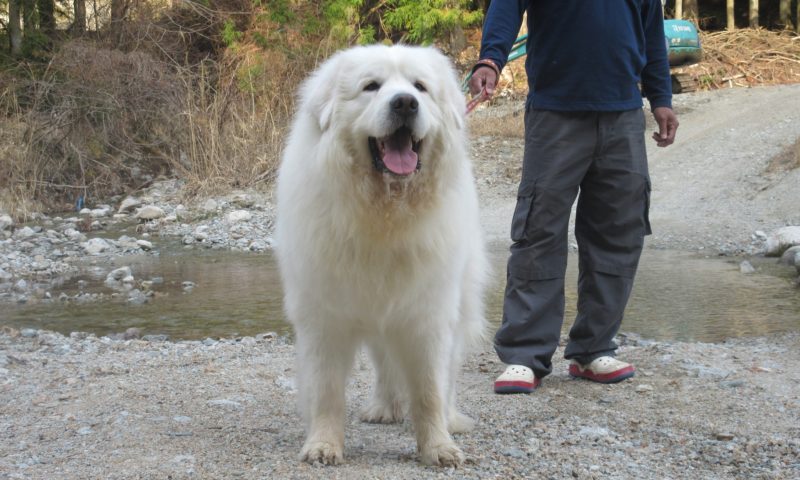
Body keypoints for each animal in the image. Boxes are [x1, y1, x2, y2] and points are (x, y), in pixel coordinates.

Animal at [276, 44, 488, 464]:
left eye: (420, 87)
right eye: (371, 86)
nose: (405, 103)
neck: (384, 212)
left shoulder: (429, 314)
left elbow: (430, 389)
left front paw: (438, 447)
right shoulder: (324, 318)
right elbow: (326, 390)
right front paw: (323, 445)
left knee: (447, 375)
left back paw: (450, 419)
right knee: (386, 362)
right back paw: (385, 408)